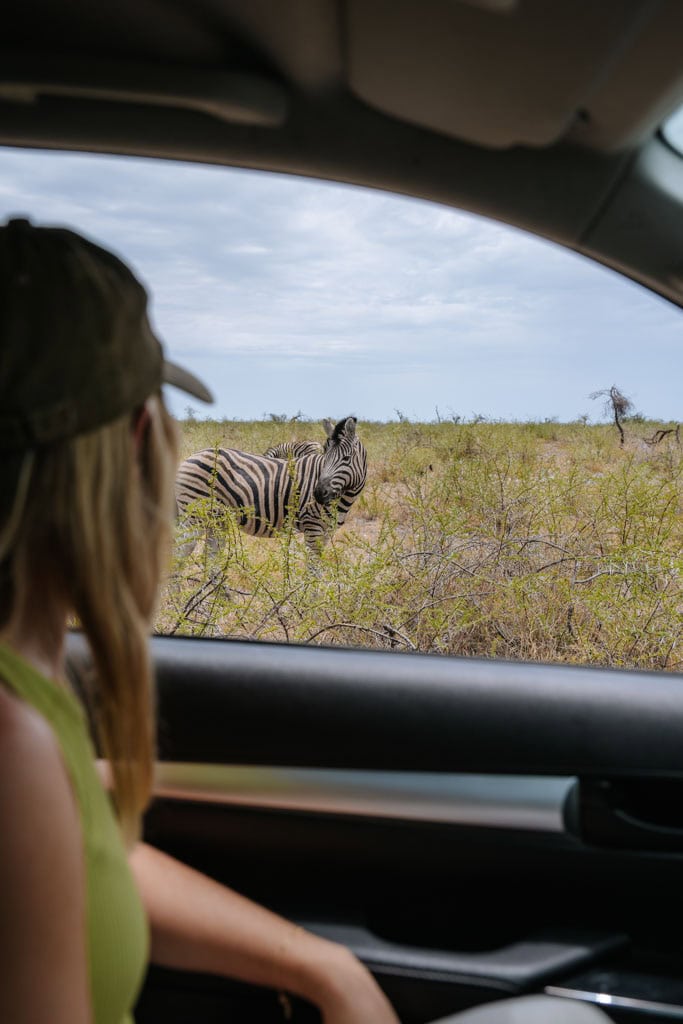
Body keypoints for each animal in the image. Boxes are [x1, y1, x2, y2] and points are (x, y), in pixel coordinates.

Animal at [176, 415, 368, 561]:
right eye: (325, 457)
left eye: (346, 458)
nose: (318, 494)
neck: (345, 497)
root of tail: (190, 457)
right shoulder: (312, 527)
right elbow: (312, 570)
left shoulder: (327, 532)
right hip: (195, 516)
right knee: (179, 553)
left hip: (216, 519)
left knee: (210, 557)